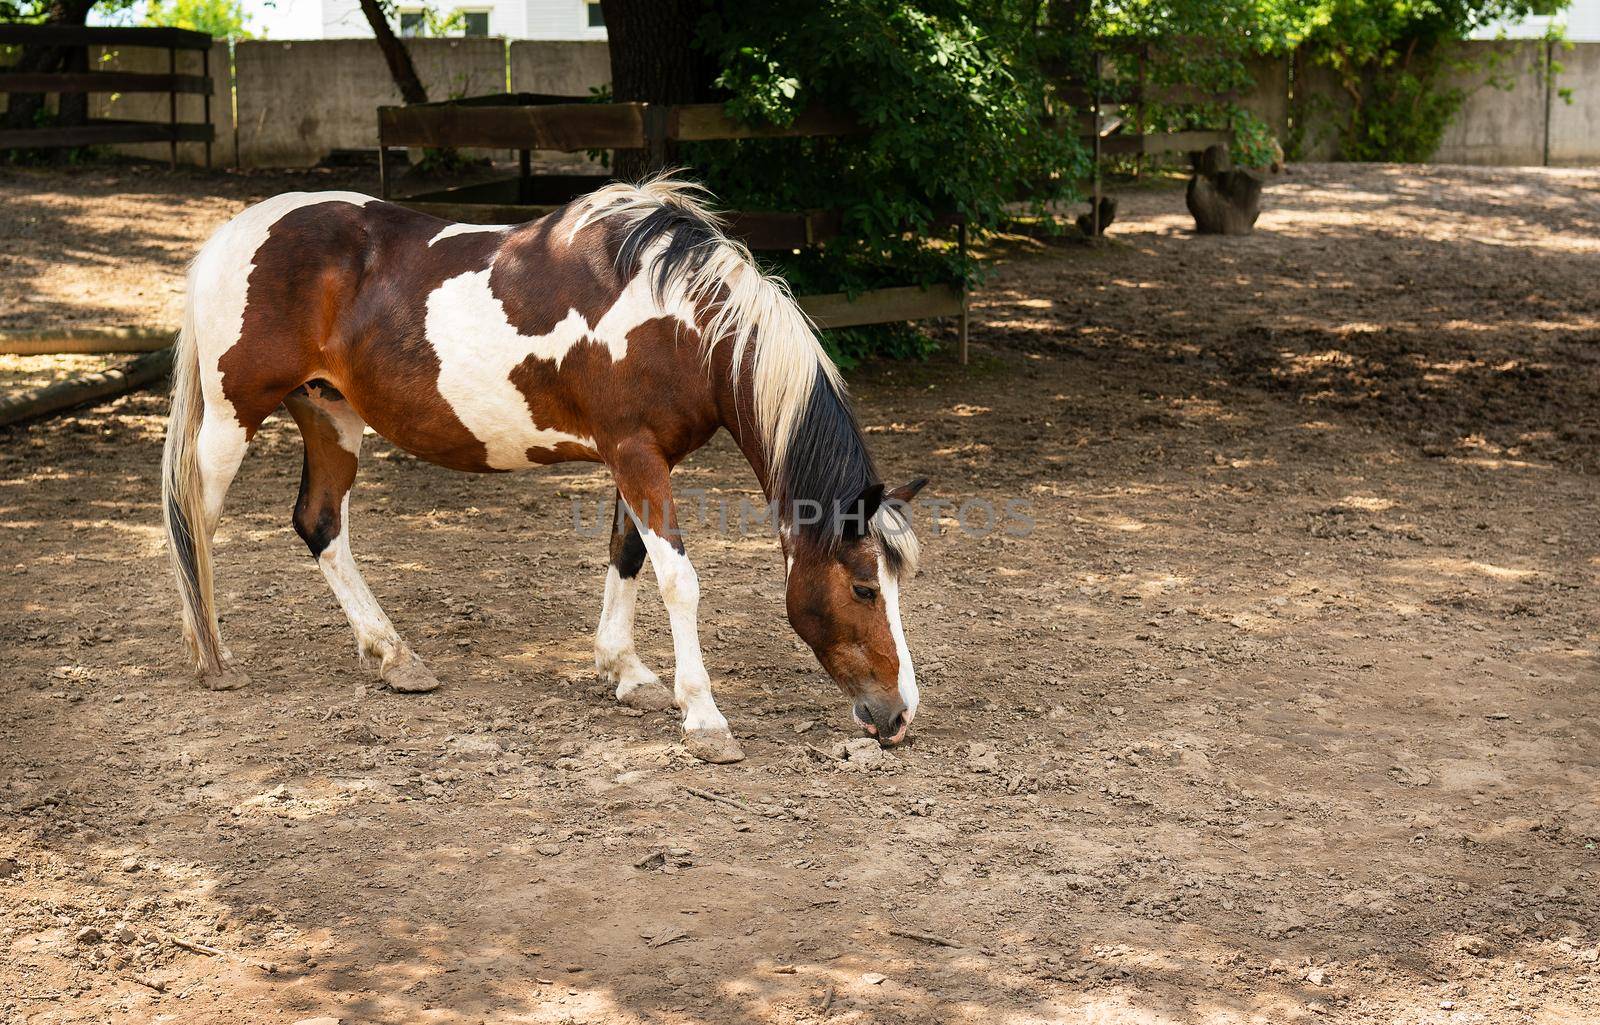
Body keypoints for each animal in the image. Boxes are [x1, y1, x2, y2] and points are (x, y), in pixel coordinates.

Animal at [162, 179, 928, 764]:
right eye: (864, 588)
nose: (897, 716)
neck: (678, 320)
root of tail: (234, 234)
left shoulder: (640, 457)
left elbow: (626, 555)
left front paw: (627, 671)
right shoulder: (636, 454)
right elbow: (678, 579)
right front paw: (704, 715)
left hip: (329, 413)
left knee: (320, 523)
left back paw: (393, 655)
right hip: (233, 416)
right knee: (195, 520)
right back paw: (209, 653)